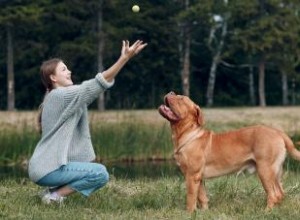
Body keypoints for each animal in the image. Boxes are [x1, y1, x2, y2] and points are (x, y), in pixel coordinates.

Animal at [158, 91, 300, 211]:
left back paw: (266, 211)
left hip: (265, 170)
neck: (187, 133)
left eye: (181, 98)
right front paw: (204, 212)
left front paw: (189, 213)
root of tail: (278, 132)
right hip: (275, 171)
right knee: (280, 193)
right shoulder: (198, 177)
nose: (171, 92)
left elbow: (191, 197)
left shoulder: (192, 175)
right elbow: (202, 197)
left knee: (273, 194)